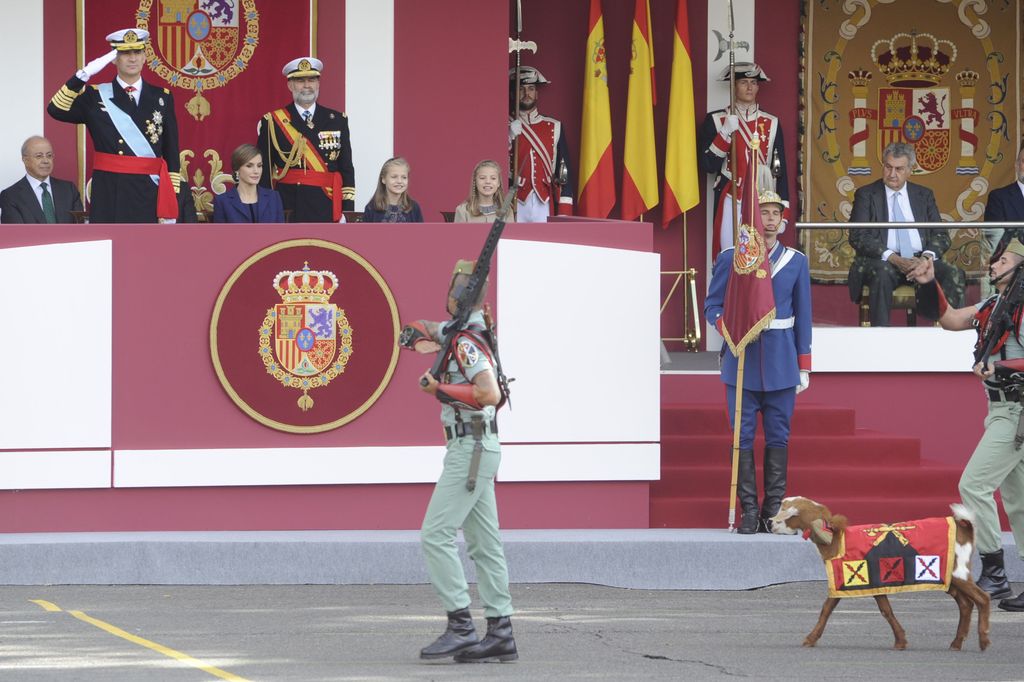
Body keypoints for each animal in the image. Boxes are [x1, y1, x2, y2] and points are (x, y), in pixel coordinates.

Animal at [770, 493, 987, 647]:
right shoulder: (867, 582)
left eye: (789, 514)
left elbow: (826, 609)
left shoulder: (845, 580)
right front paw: (900, 641)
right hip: (947, 577)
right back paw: (956, 643)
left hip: (958, 572)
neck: (836, 540)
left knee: (982, 598)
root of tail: (965, 529)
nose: (770, 523)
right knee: (965, 604)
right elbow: (885, 610)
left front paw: (809, 639)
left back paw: (984, 640)